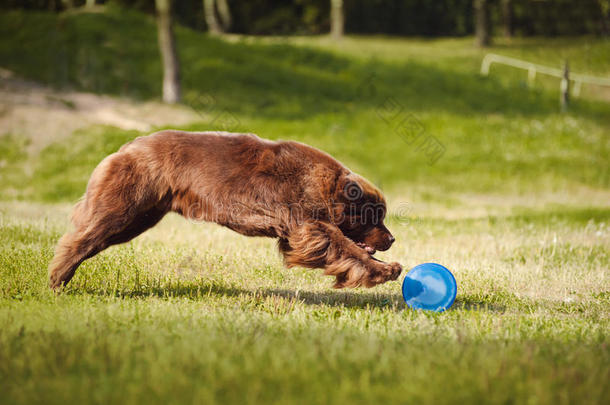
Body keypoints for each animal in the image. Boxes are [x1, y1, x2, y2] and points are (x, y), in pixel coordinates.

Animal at [50, 131, 402, 288]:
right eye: (376, 216)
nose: (392, 239)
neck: (328, 187)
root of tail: (129, 145)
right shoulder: (307, 219)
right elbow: (342, 245)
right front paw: (387, 270)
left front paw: (389, 266)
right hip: (126, 202)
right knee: (84, 236)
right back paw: (56, 278)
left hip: (142, 215)